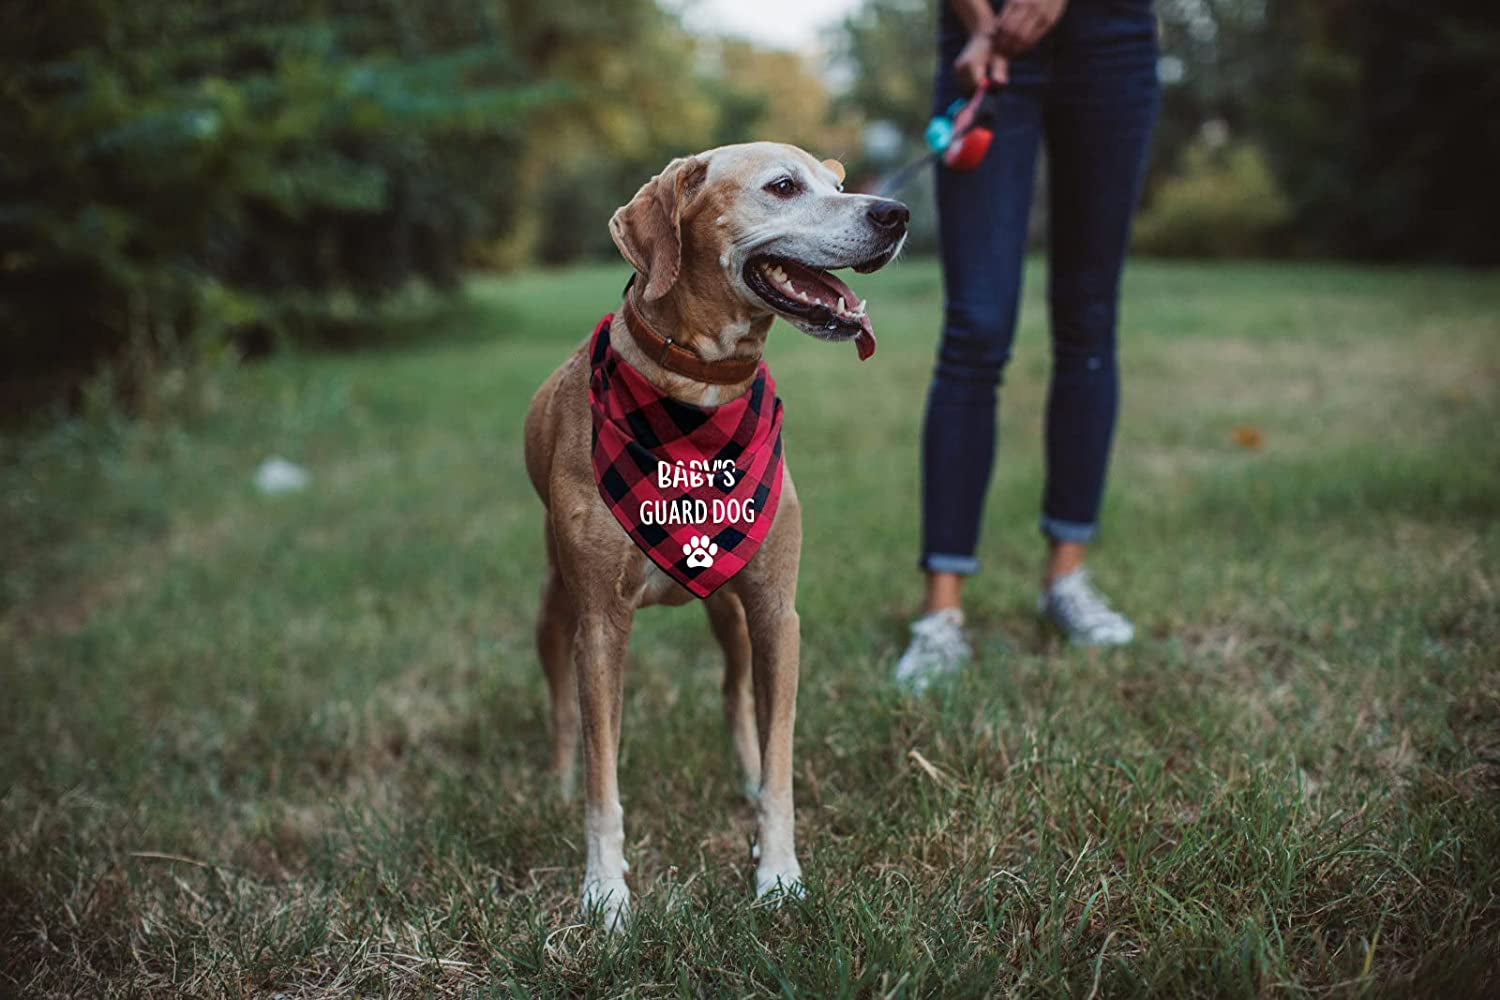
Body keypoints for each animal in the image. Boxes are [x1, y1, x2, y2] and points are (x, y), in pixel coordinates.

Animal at [522, 142, 906, 929]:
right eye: (783, 187)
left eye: (839, 181)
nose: (897, 214)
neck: (699, 393)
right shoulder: (599, 624)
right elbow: (602, 778)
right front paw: (604, 892)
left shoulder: (775, 611)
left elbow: (780, 753)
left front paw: (778, 873)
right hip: (555, 603)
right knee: (563, 711)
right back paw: (556, 782)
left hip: (730, 609)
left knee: (737, 696)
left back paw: (747, 779)